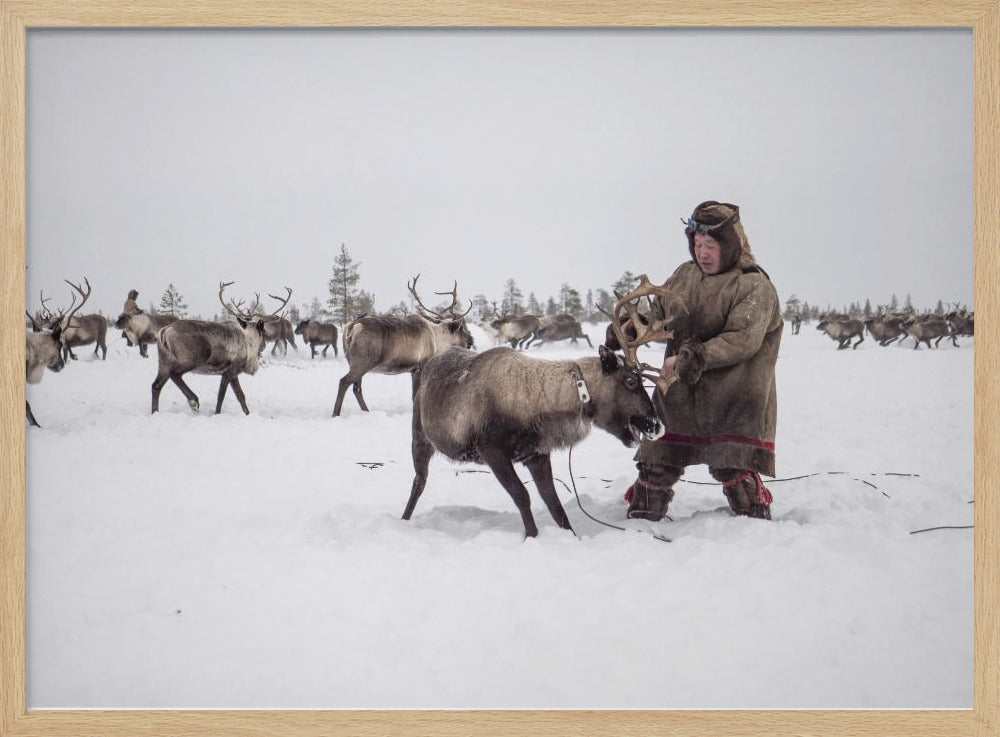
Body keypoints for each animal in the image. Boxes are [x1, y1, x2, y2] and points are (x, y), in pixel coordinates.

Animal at [150, 282, 289, 415]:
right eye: (263, 331)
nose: (263, 346)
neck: (248, 340)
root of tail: (164, 330)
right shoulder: (228, 371)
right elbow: (221, 396)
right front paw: (217, 413)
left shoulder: (234, 374)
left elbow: (241, 396)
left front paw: (247, 414)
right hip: (188, 360)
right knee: (174, 375)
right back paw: (194, 401)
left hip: (163, 361)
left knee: (156, 386)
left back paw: (155, 412)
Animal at [333, 275, 475, 417]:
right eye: (461, 329)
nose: (471, 340)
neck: (436, 338)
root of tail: (352, 326)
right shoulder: (421, 366)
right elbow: (415, 394)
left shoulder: (412, 370)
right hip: (363, 361)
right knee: (344, 382)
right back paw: (336, 414)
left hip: (353, 362)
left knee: (356, 388)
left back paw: (366, 411)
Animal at [402, 278, 689, 539]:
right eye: (630, 381)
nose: (657, 425)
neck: (542, 404)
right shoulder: (492, 449)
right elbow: (522, 496)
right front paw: (532, 536)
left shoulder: (537, 453)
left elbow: (554, 503)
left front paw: (571, 537)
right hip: (420, 436)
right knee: (418, 481)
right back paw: (404, 520)